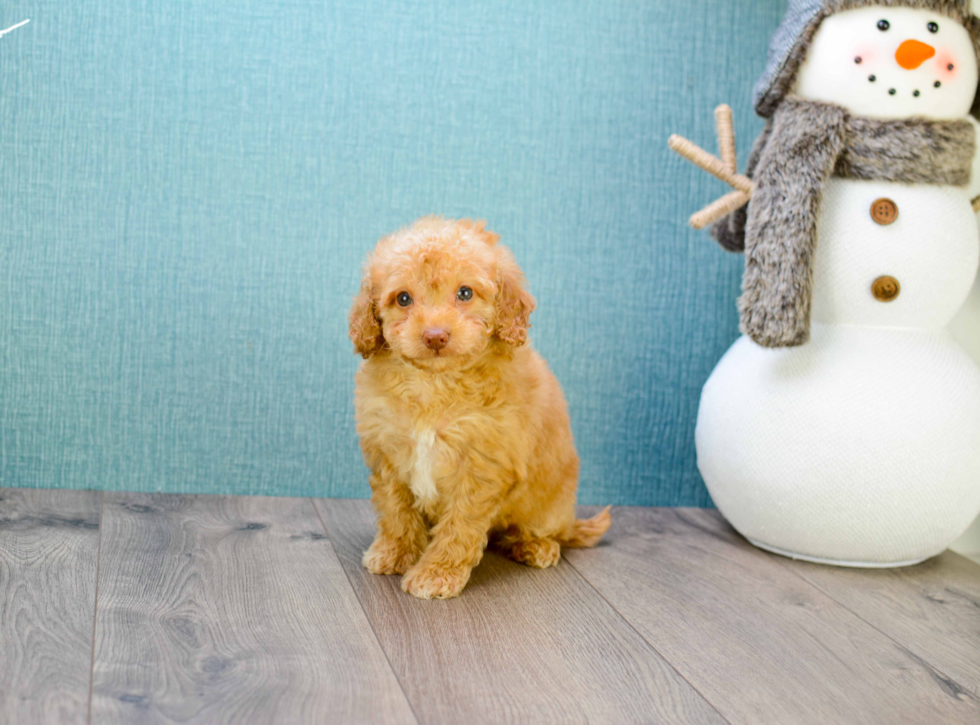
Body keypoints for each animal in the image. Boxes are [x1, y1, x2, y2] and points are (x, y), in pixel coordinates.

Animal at [348, 216, 608, 600]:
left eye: (465, 293)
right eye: (403, 298)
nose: (435, 336)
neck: (435, 383)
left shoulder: (482, 465)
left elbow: (459, 526)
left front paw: (436, 574)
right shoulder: (387, 451)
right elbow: (396, 510)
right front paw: (394, 552)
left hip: (550, 504)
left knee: (544, 530)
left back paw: (535, 546)